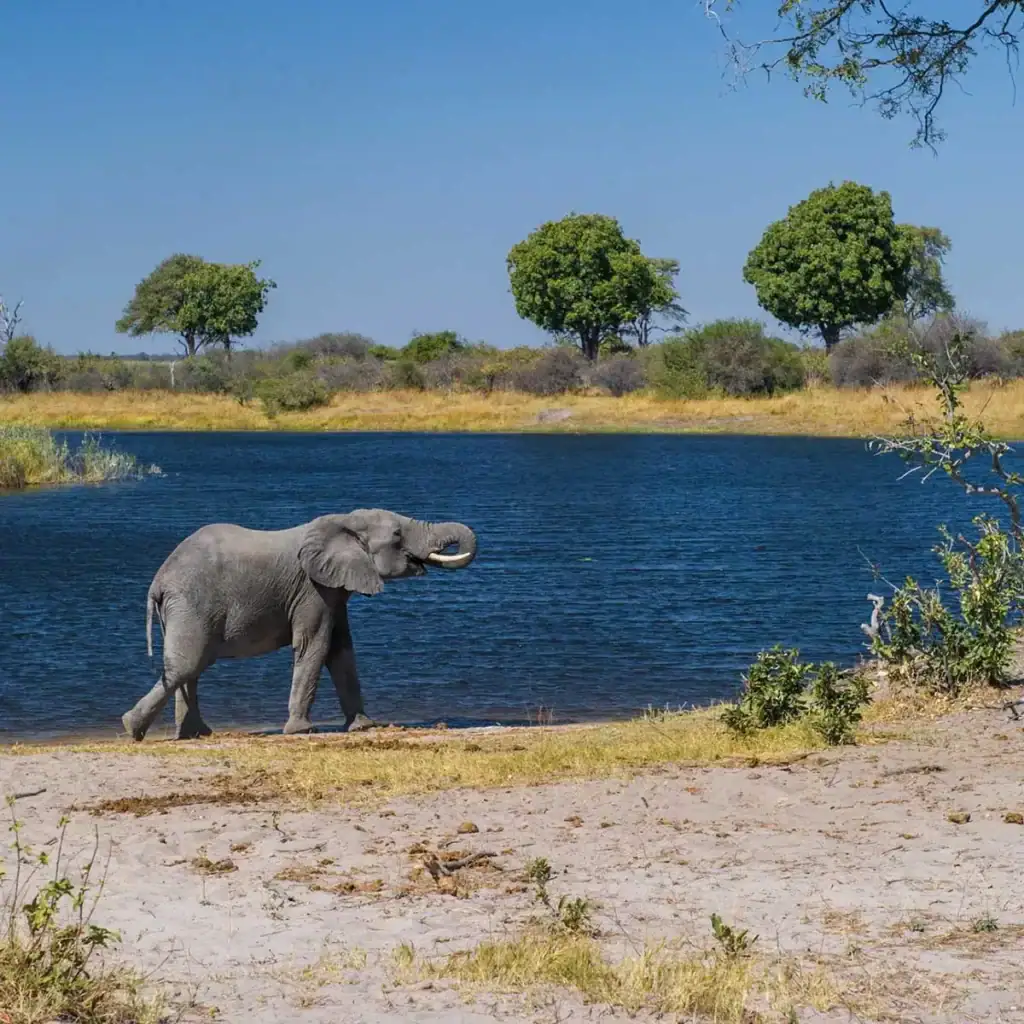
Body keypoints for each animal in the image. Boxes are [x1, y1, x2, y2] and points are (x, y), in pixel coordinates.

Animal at [120, 509, 477, 741]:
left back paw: (195, 735)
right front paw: (303, 731)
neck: (344, 522)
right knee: (188, 664)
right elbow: (315, 645)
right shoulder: (312, 590)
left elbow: (342, 651)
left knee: (189, 668)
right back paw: (131, 728)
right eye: (397, 535)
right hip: (192, 604)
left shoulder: (333, 590)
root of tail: (158, 581)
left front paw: (363, 727)